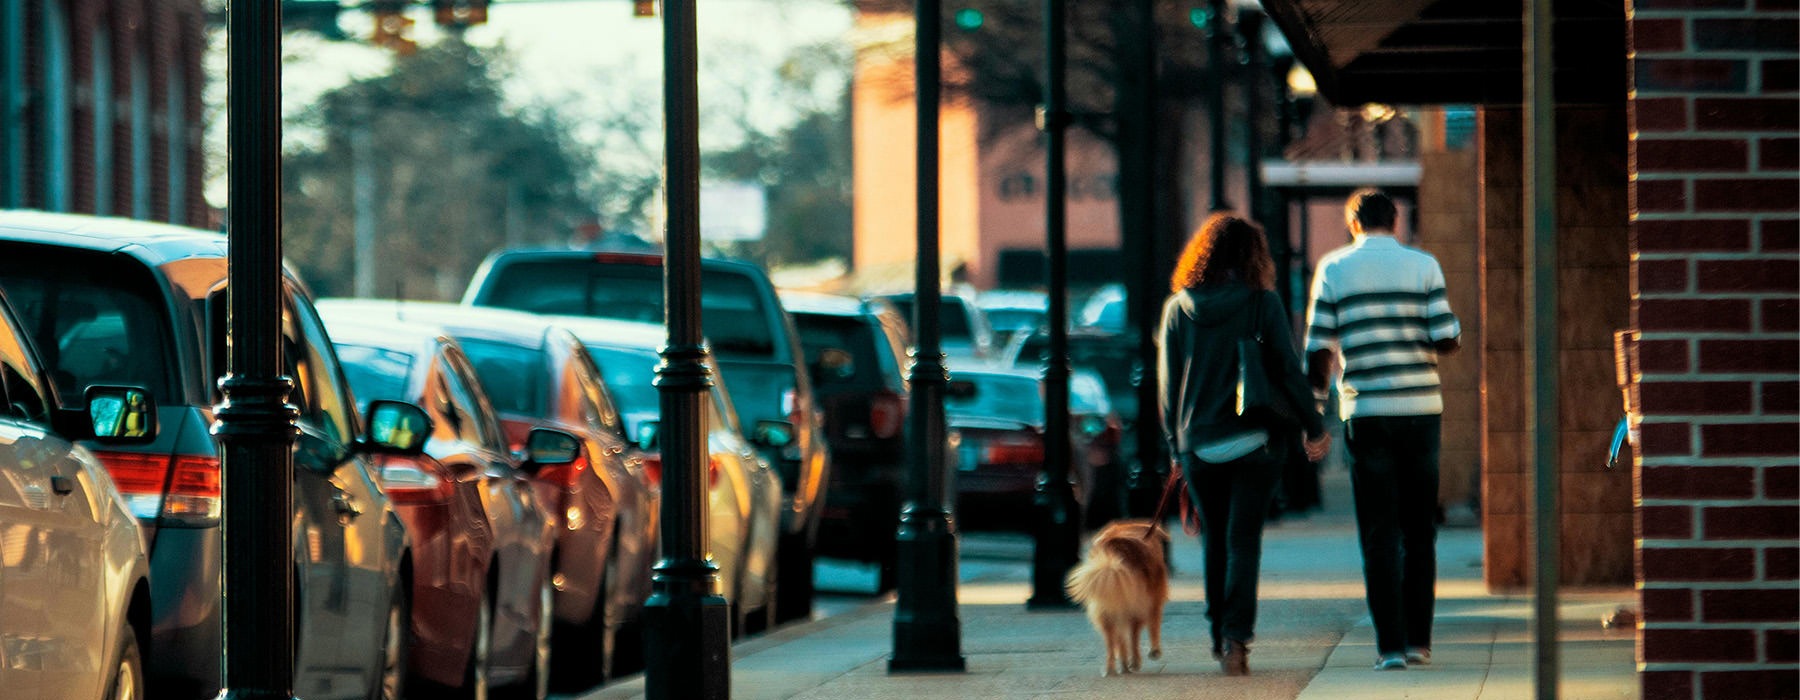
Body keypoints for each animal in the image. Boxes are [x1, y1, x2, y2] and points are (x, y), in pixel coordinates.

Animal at [1058, 518, 1173, 669]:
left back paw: (1113, 667)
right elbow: (1154, 625)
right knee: (1133, 634)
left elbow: (1120, 638)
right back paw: (1134, 662)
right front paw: (1155, 651)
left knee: (1112, 639)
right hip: (1135, 606)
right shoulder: (1154, 601)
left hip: (1106, 608)